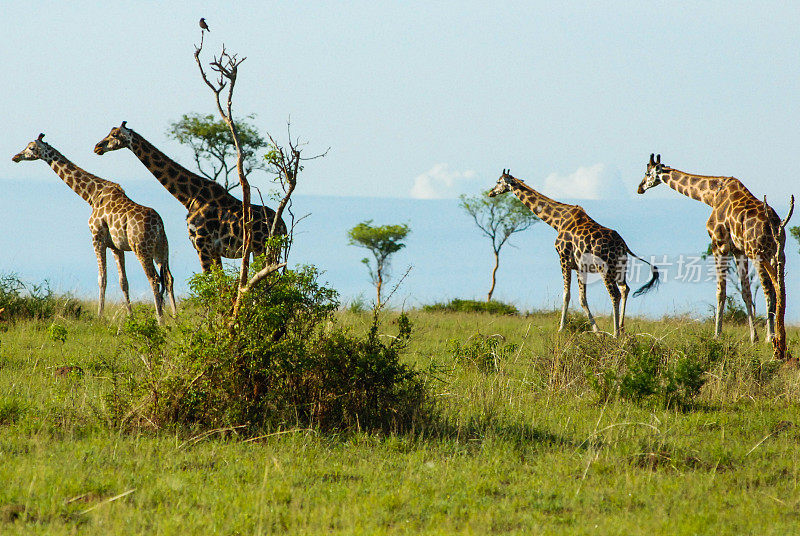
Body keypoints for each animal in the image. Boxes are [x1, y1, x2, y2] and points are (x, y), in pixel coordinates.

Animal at [11, 136, 177, 324]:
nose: (16, 156)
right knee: (168, 278)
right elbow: (123, 282)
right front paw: (131, 317)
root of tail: (159, 224)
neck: (91, 195)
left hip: (141, 248)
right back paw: (175, 317)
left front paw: (99, 315)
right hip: (161, 249)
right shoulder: (116, 247)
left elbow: (101, 278)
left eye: (31, 148)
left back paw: (160, 320)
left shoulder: (96, 237)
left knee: (154, 279)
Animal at [94, 122, 288, 272]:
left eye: (114, 135)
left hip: (264, 247)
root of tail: (283, 225)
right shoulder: (212, 249)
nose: (97, 147)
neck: (189, 197)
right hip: (267, 249)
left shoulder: (202, 244)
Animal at [490, 170, 660, 338]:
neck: (557, 221)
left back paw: (616, 334)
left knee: (615, 294)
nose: (491, 192)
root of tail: (622, 244)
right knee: (625, 289)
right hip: (620, 267)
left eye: (498, 182)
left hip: (605, 267)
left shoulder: (563, 257)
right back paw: (623, 330)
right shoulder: (579, 266)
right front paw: (597, 331)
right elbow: (582, 298)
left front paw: (561, 329)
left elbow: (566, 295)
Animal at [640, 153, 792, 350]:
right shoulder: (738, 250)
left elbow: (721, 291)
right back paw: (777, 335)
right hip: (778, 254)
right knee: (780, 289)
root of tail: (775, 224)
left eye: (647, 172)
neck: (711, 196)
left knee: (769, 290)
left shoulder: (718, 244)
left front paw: (717, 335)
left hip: (759, 253)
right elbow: (746, 292)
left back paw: (771, 337)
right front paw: (753, 338)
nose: (639, 187)